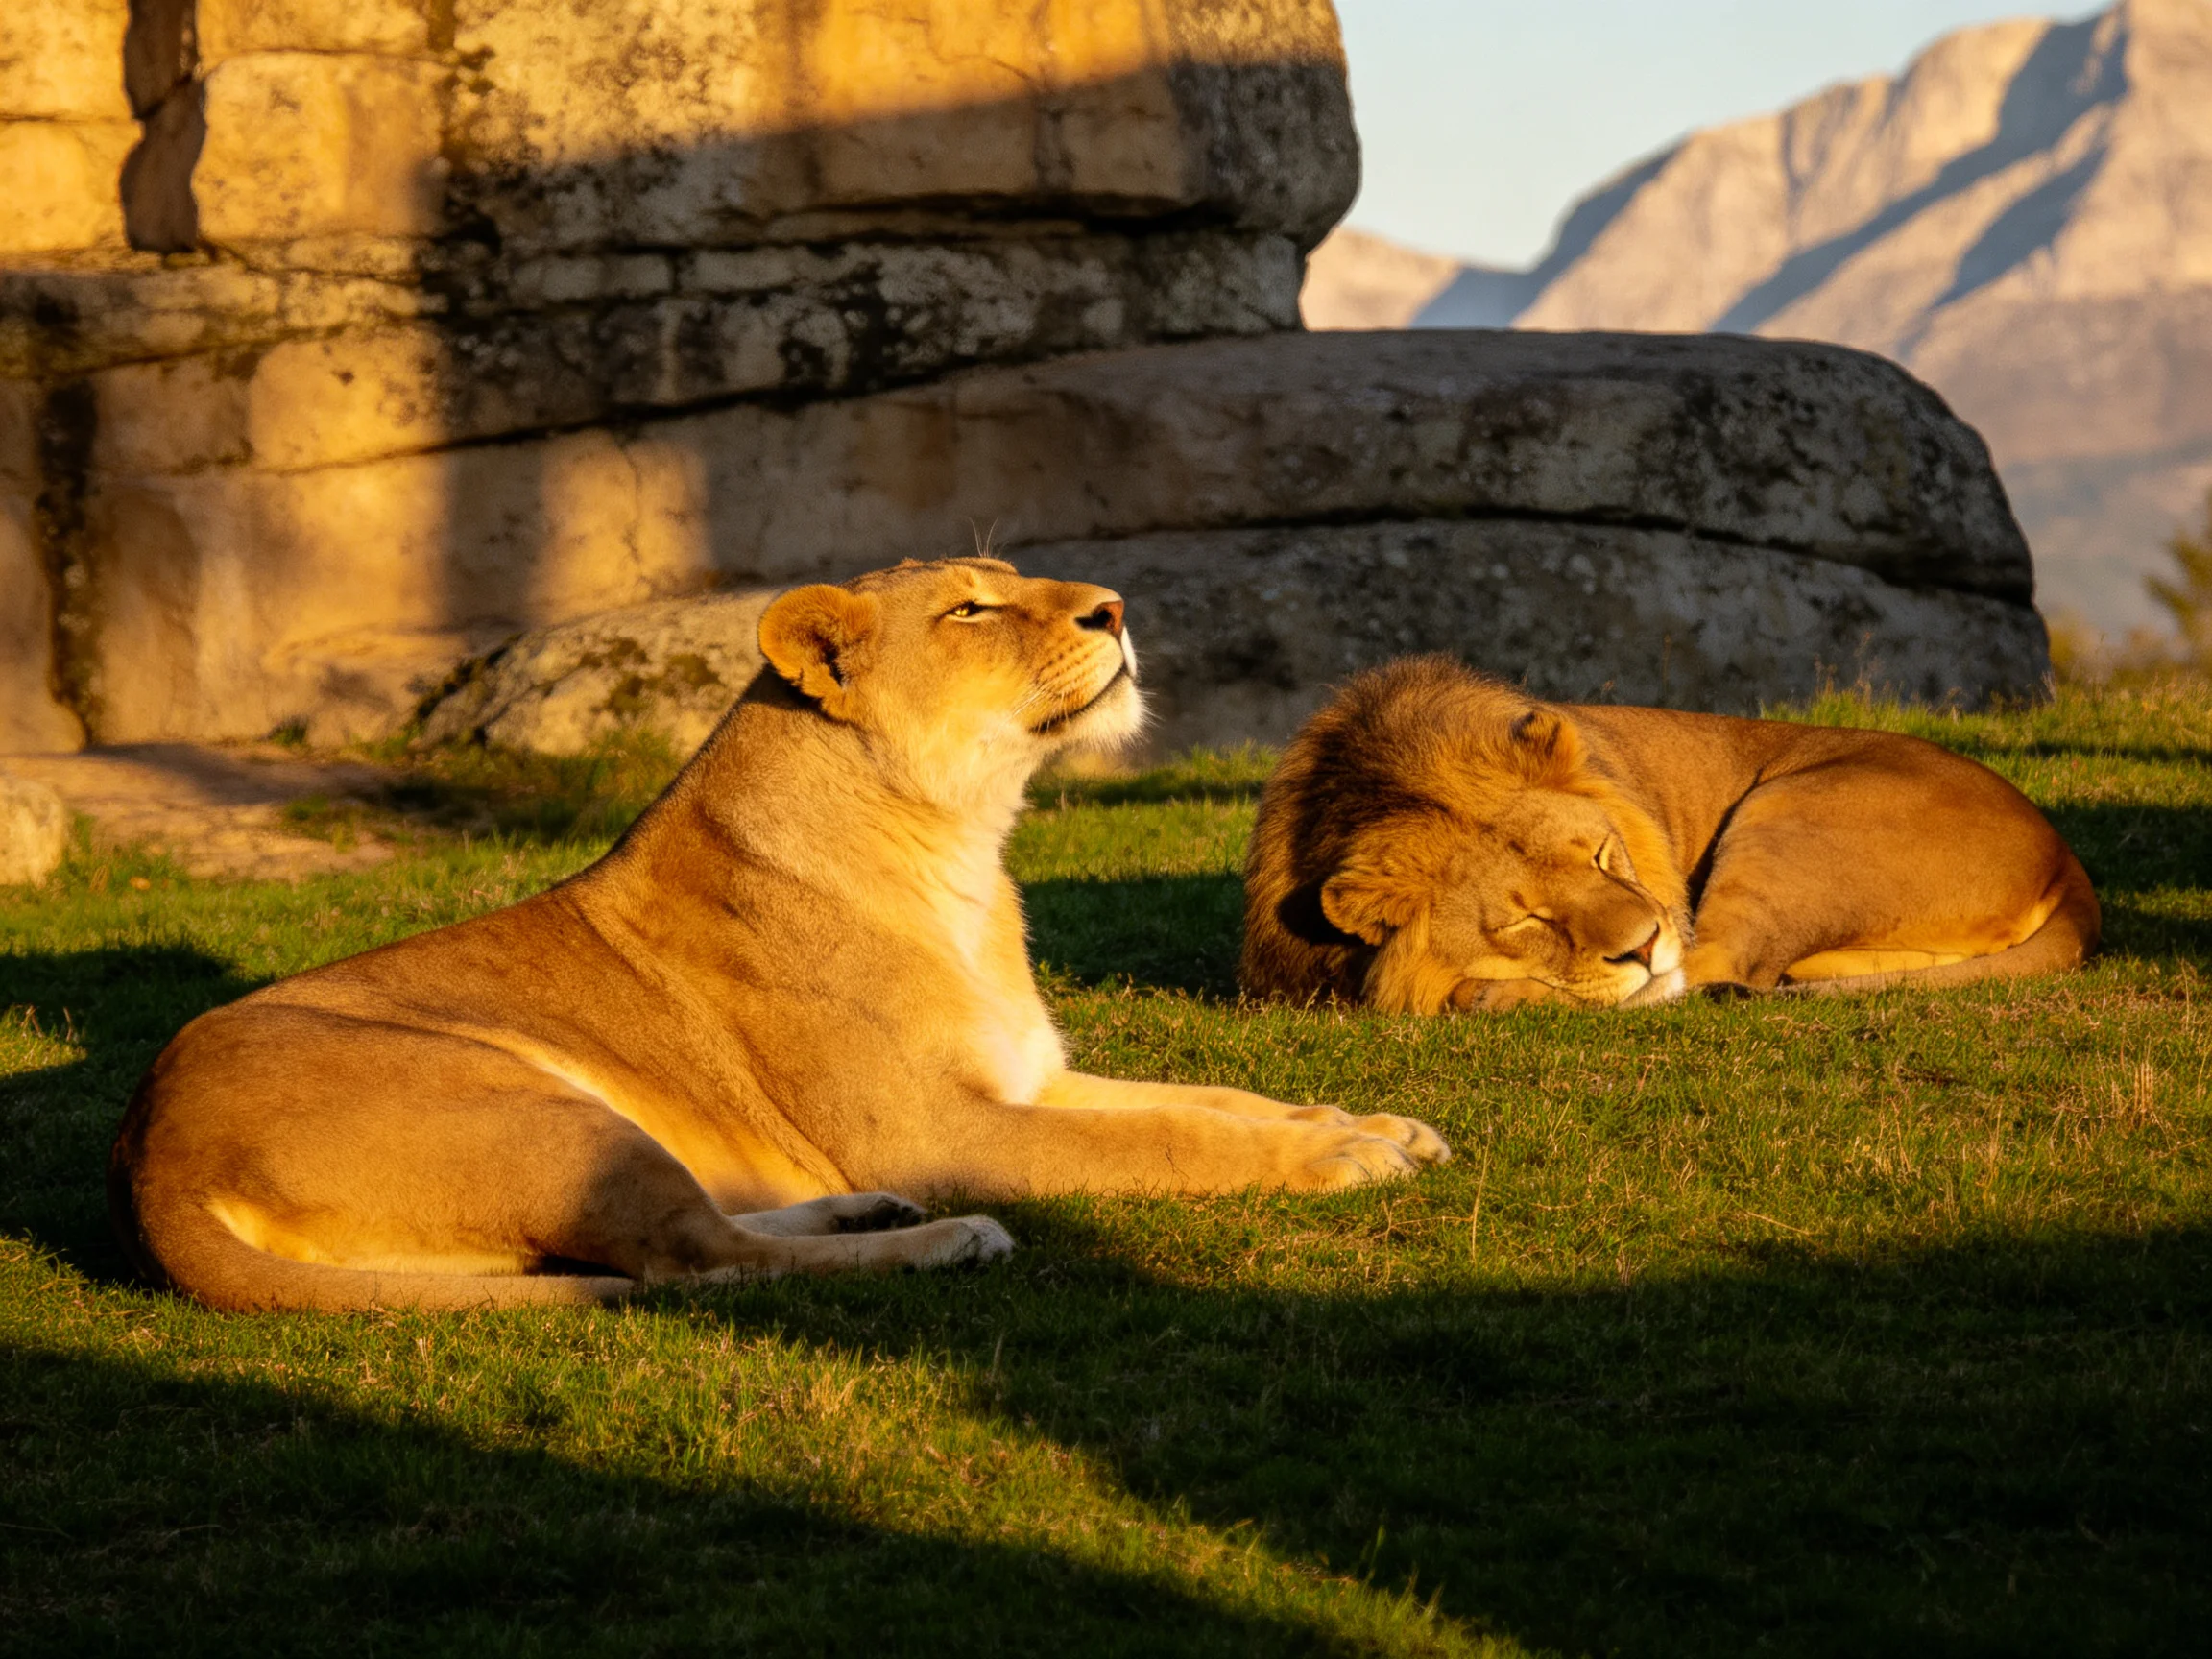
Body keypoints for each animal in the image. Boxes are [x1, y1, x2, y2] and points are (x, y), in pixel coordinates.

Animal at [109, 558, 1449, 1312]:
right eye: (973, 607)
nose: (1117, 609)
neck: (963, 850)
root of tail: (151, 1158)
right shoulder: (939, 1129)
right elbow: (1169, 1144)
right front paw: (1339, 1159)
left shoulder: (1030, 1079)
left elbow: (1212, 1100)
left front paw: (1366, 1123)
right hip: (545, 1115)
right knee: (694, 1265)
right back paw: (940, 1240)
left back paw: (866, 1215)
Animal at [1240, 657, 2097, 1013]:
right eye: (1528, 919)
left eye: (1599, 855)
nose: (1645, 944)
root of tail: (2065, 859)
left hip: (1784, 812)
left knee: (1713, 972)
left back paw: (1486, 995)